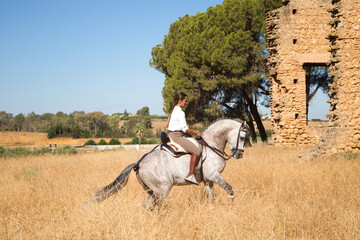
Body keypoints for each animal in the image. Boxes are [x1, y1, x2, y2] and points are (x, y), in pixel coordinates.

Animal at [86, 119, 252, 209]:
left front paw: (212, 210)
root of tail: (139, 163)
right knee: (156, 207)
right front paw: (230, 209)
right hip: (163, 190)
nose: (239, 154)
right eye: (243, 137)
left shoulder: (208, 180)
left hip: (150, 192)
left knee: (146, 207)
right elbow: (230, 190)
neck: (211, 146)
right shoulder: (214, 176)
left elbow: (210, 198)